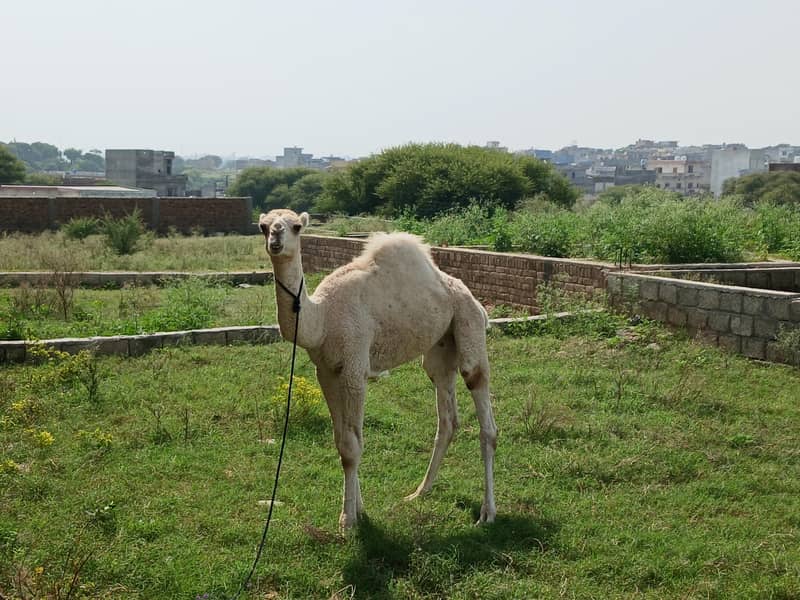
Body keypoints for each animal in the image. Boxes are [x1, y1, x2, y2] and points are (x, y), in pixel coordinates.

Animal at [259, 209, 497, 529]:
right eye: (263, 226)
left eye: (296, 226)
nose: (275, 239)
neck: (322, 318)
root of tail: (478, 303)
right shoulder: (326, 371)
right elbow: (341, 440)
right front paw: (358, 509)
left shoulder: (355, 369)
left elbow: (351, 447)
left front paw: (347, 520)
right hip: (440, 348)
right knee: (447, 418)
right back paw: (420, 492)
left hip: (469, 325)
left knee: (483, 410)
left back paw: (488, 512)